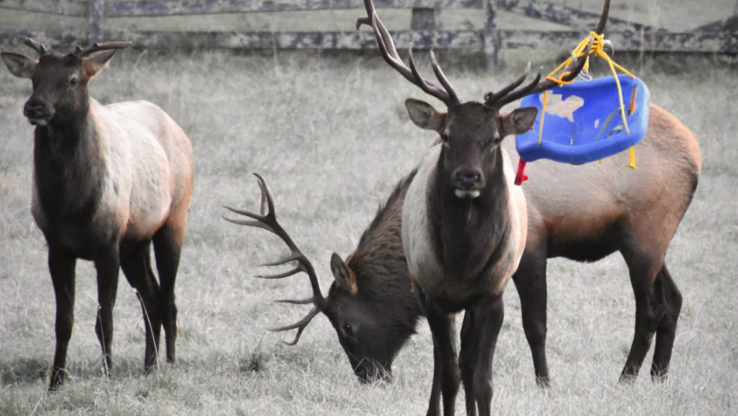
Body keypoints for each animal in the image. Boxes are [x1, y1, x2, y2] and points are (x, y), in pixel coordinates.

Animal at [1, 39, 194, 390]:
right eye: (35, 77)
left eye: (73, 79)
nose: (34, 107)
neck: (70, 206)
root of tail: (177, 128)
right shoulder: (57, 247)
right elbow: (64, 320)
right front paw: (56, 380)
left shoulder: (107, 245)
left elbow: (104, 318)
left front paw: (108, 376)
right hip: (135, 241)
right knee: (152, 297)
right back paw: (149, 365)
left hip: (174, 218)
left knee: (168, 297)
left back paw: (170, 362)